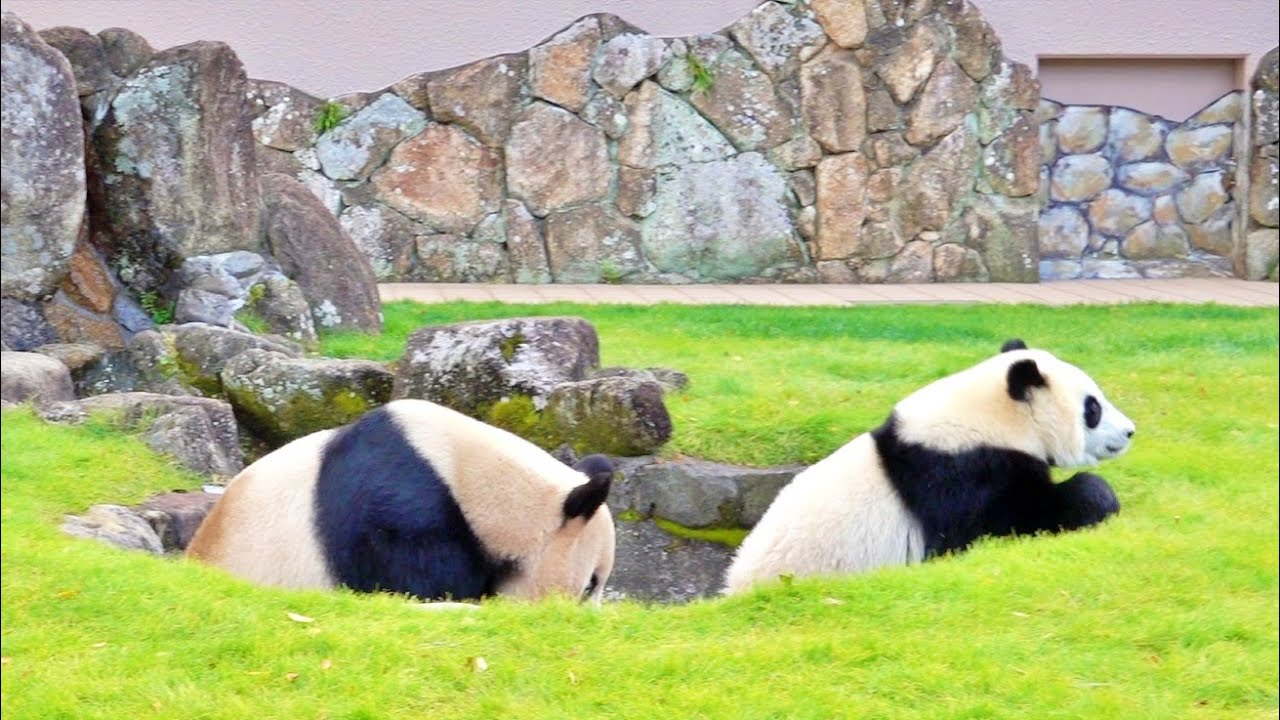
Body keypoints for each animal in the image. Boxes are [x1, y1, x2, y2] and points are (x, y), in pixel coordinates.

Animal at [723, 339, 1135, 594]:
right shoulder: (963, 475)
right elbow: (1016, 518)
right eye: (1093, 407)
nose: (1131, 431)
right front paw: (1098, 498)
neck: (989, 420)